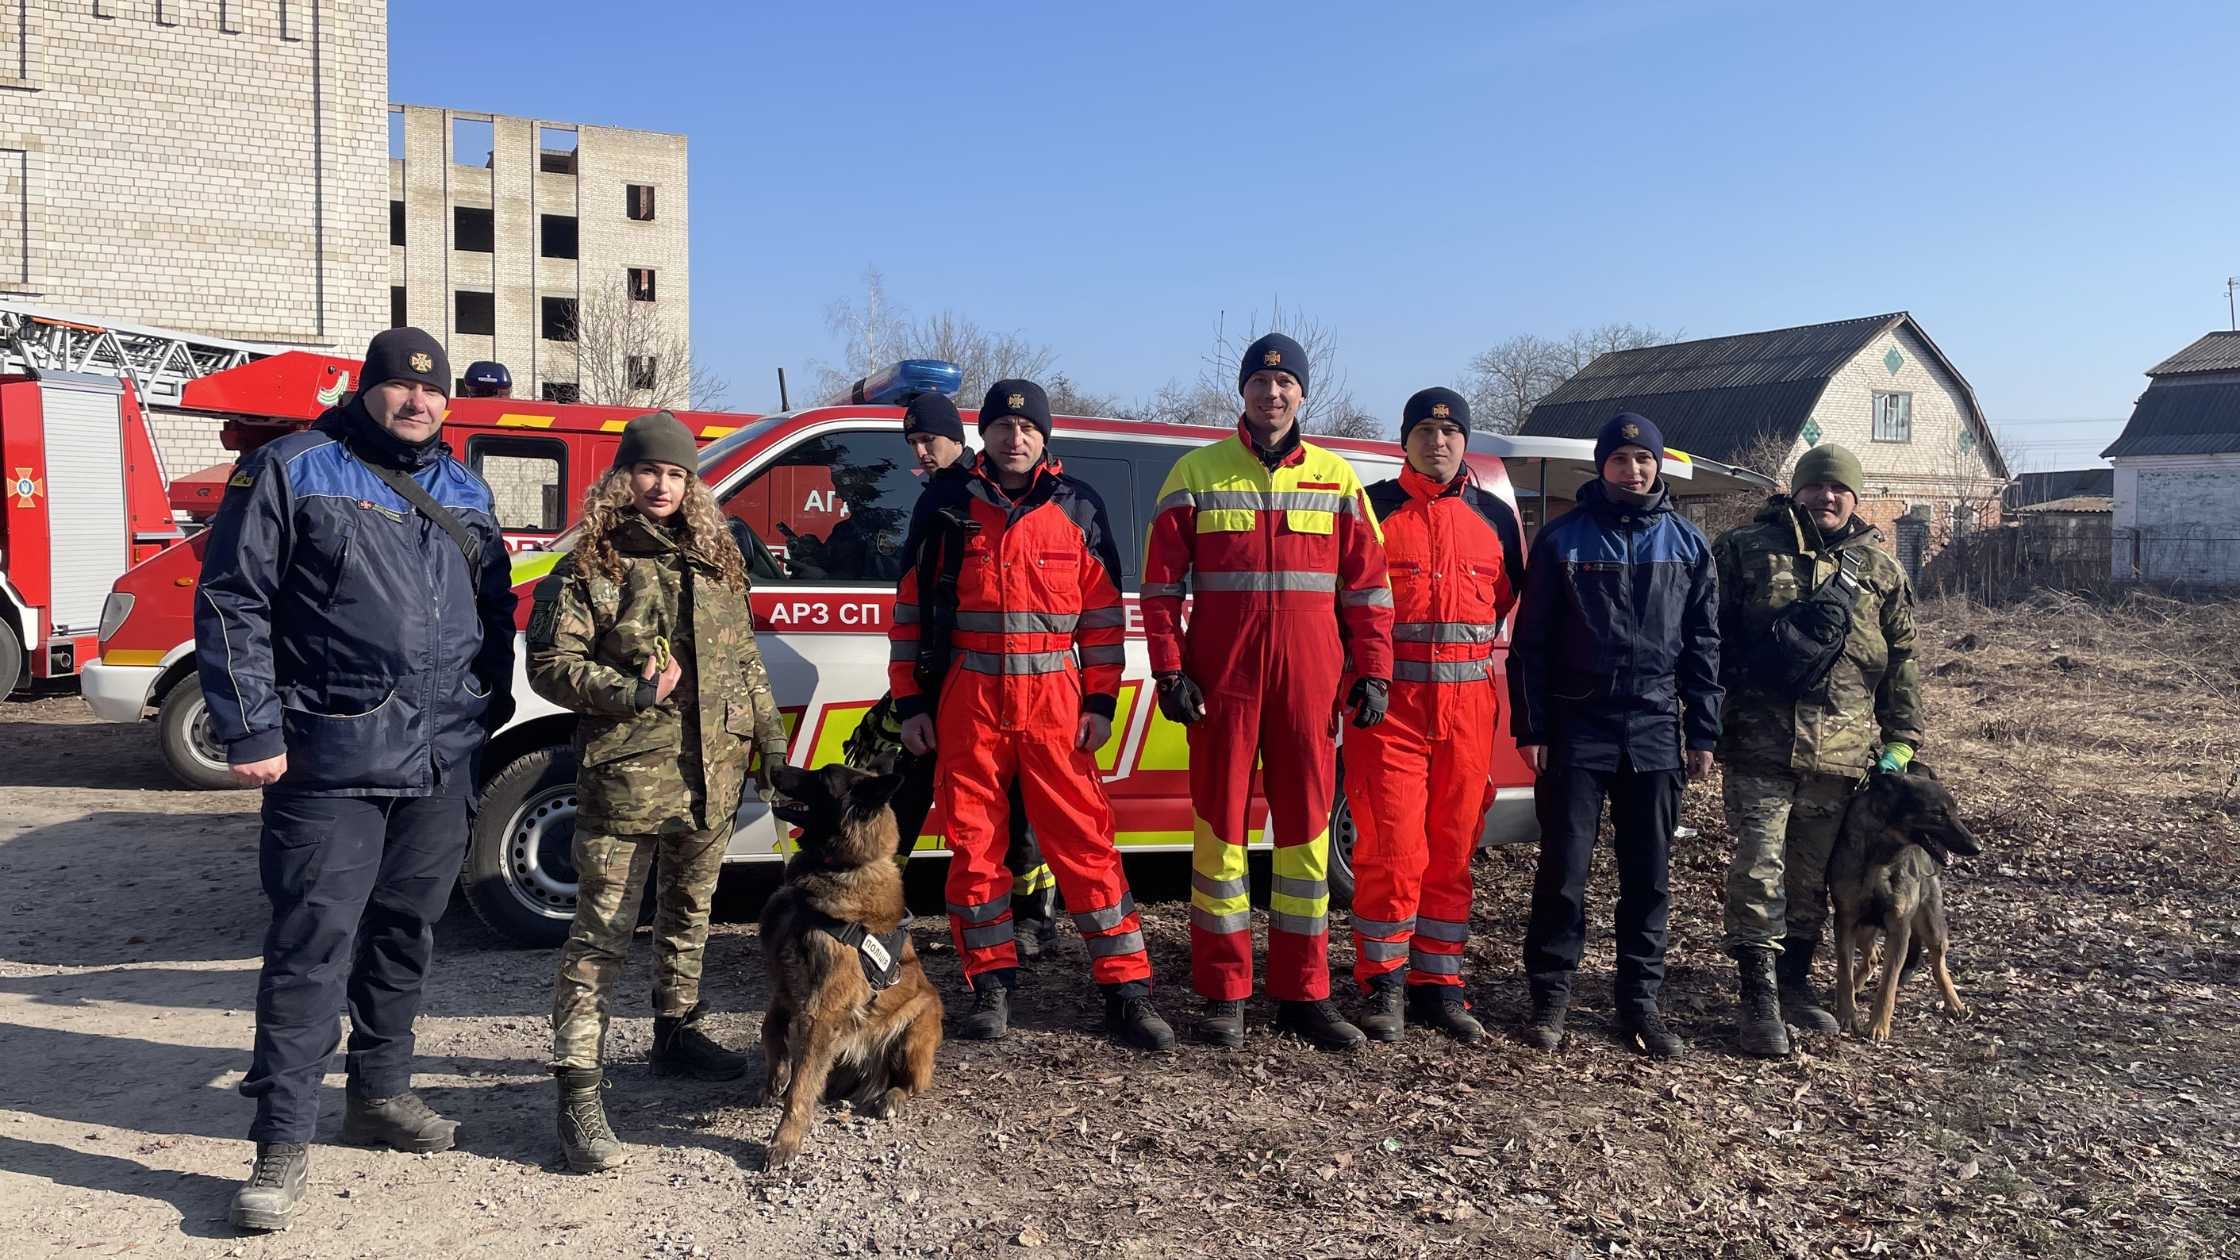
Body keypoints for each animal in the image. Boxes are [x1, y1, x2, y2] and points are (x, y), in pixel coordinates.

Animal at [757, 753, 940, 1165]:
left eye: (824, 777)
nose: (772, 767)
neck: (839, 869)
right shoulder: (785, 987)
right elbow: (769, 1027)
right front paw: (776, 1074)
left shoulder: (821, 1010)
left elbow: (801, 1087)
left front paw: (785, 1140)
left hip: (916, 1026)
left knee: (912, 1084)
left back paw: (891, 1098)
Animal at [1836, 766, 1980, 1040]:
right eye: (1938, 813)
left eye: (1955, 811)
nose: (1978, 846)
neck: (1882, 855)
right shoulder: (1845, 922)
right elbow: (1844, 974)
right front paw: (1847, 1014)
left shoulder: (1900, 929)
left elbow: (1888, 985)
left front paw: (1878, 1025)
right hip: (1863, 929)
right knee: (1873, 955)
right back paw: (1858, 986)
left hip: (1931, 925)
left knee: (1938, 962)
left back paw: (1954, 1002)